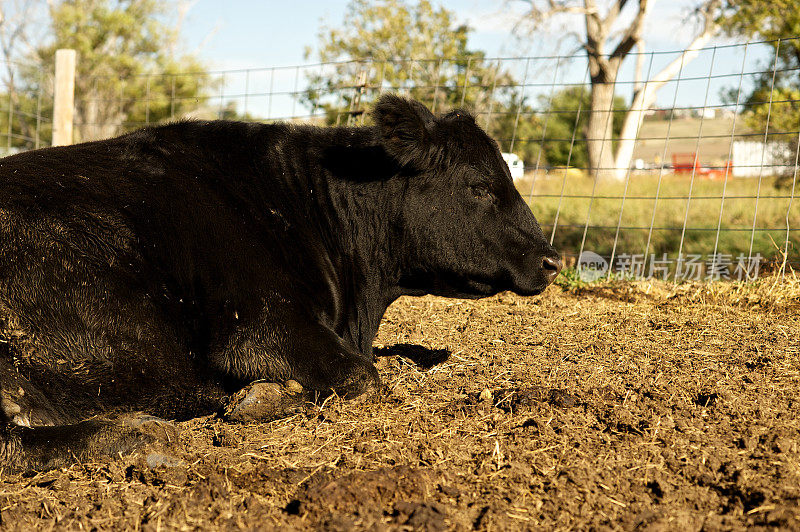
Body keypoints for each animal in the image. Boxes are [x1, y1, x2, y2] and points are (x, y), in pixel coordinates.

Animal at [0, 95, 564, 470]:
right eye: (480, 186)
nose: (552, 260)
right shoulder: (259, 326)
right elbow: (363, 376)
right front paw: (262, 398)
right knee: (14, 442)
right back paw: (144, 433)